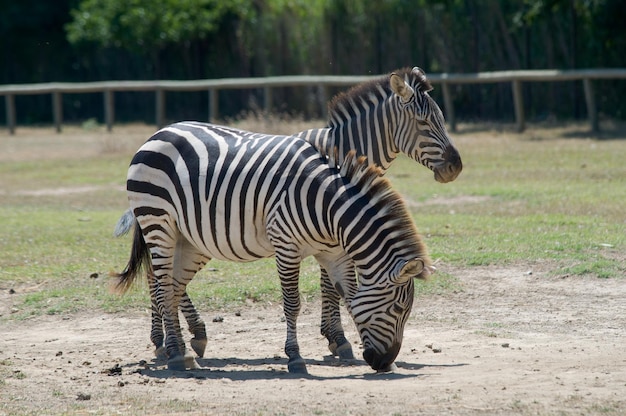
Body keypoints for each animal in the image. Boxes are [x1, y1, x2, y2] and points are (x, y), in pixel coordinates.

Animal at [112, 121, 432, 374]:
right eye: (399, 307)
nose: (383, 362)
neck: (329, 208)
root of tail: (160, 131)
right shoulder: (286, 245)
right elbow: (293, 304)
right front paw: (295, 357)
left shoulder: (335, 255)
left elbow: (350, 299)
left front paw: (343, 345)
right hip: (158, 222)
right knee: (162, 287)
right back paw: (175, 354)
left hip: (188, 238)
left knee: (172, 288)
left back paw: (184, 347)